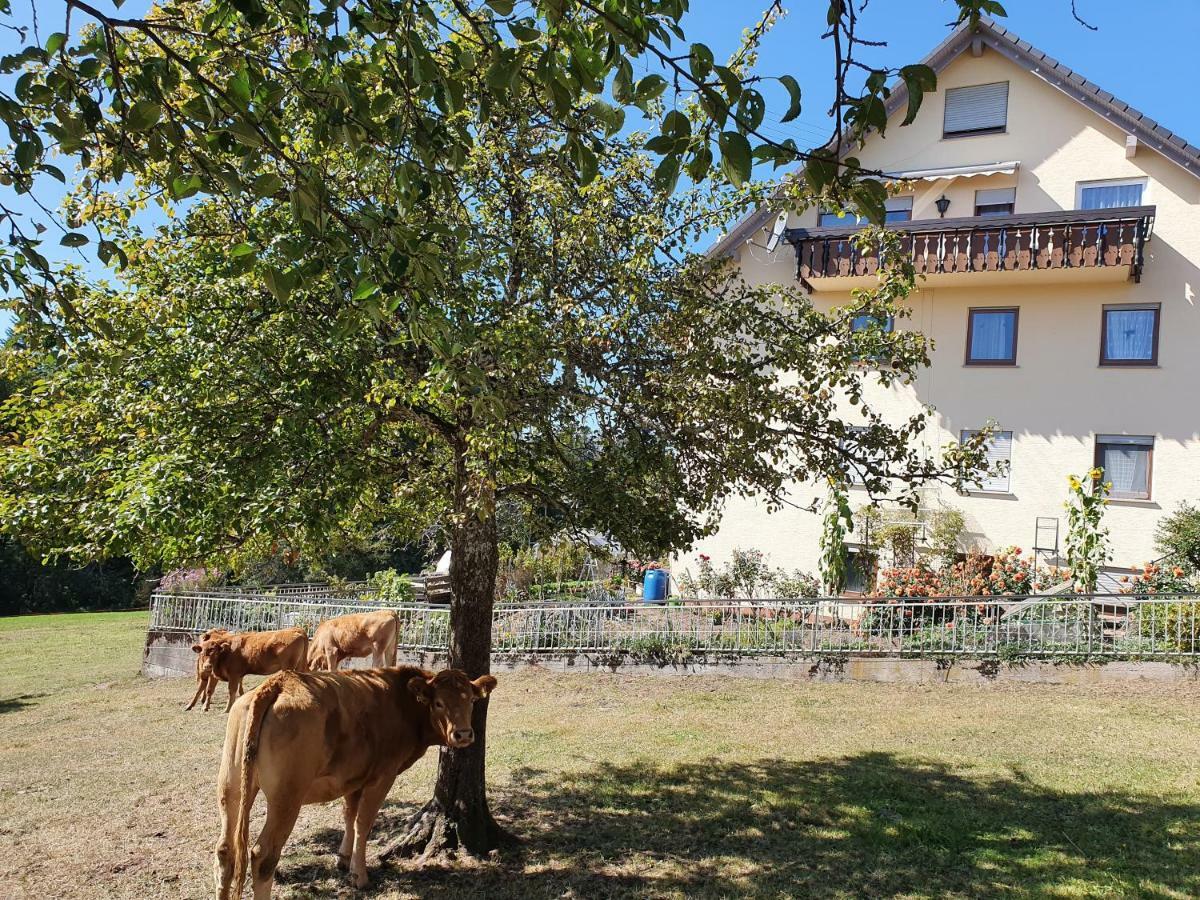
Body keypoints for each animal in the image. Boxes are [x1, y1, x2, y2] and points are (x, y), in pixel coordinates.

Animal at [216, 667, 496, 897]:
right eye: (438, 703)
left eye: (472, 700)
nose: (463, 734)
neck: (402, 702)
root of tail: (278, 682)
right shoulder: (382, 776)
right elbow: (364, 823)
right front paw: (359, 875)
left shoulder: (353, 777)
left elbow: (349, 815)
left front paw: (343, 858)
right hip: (287, 797)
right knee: (263, 856)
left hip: (231, 787)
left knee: (226, 850)